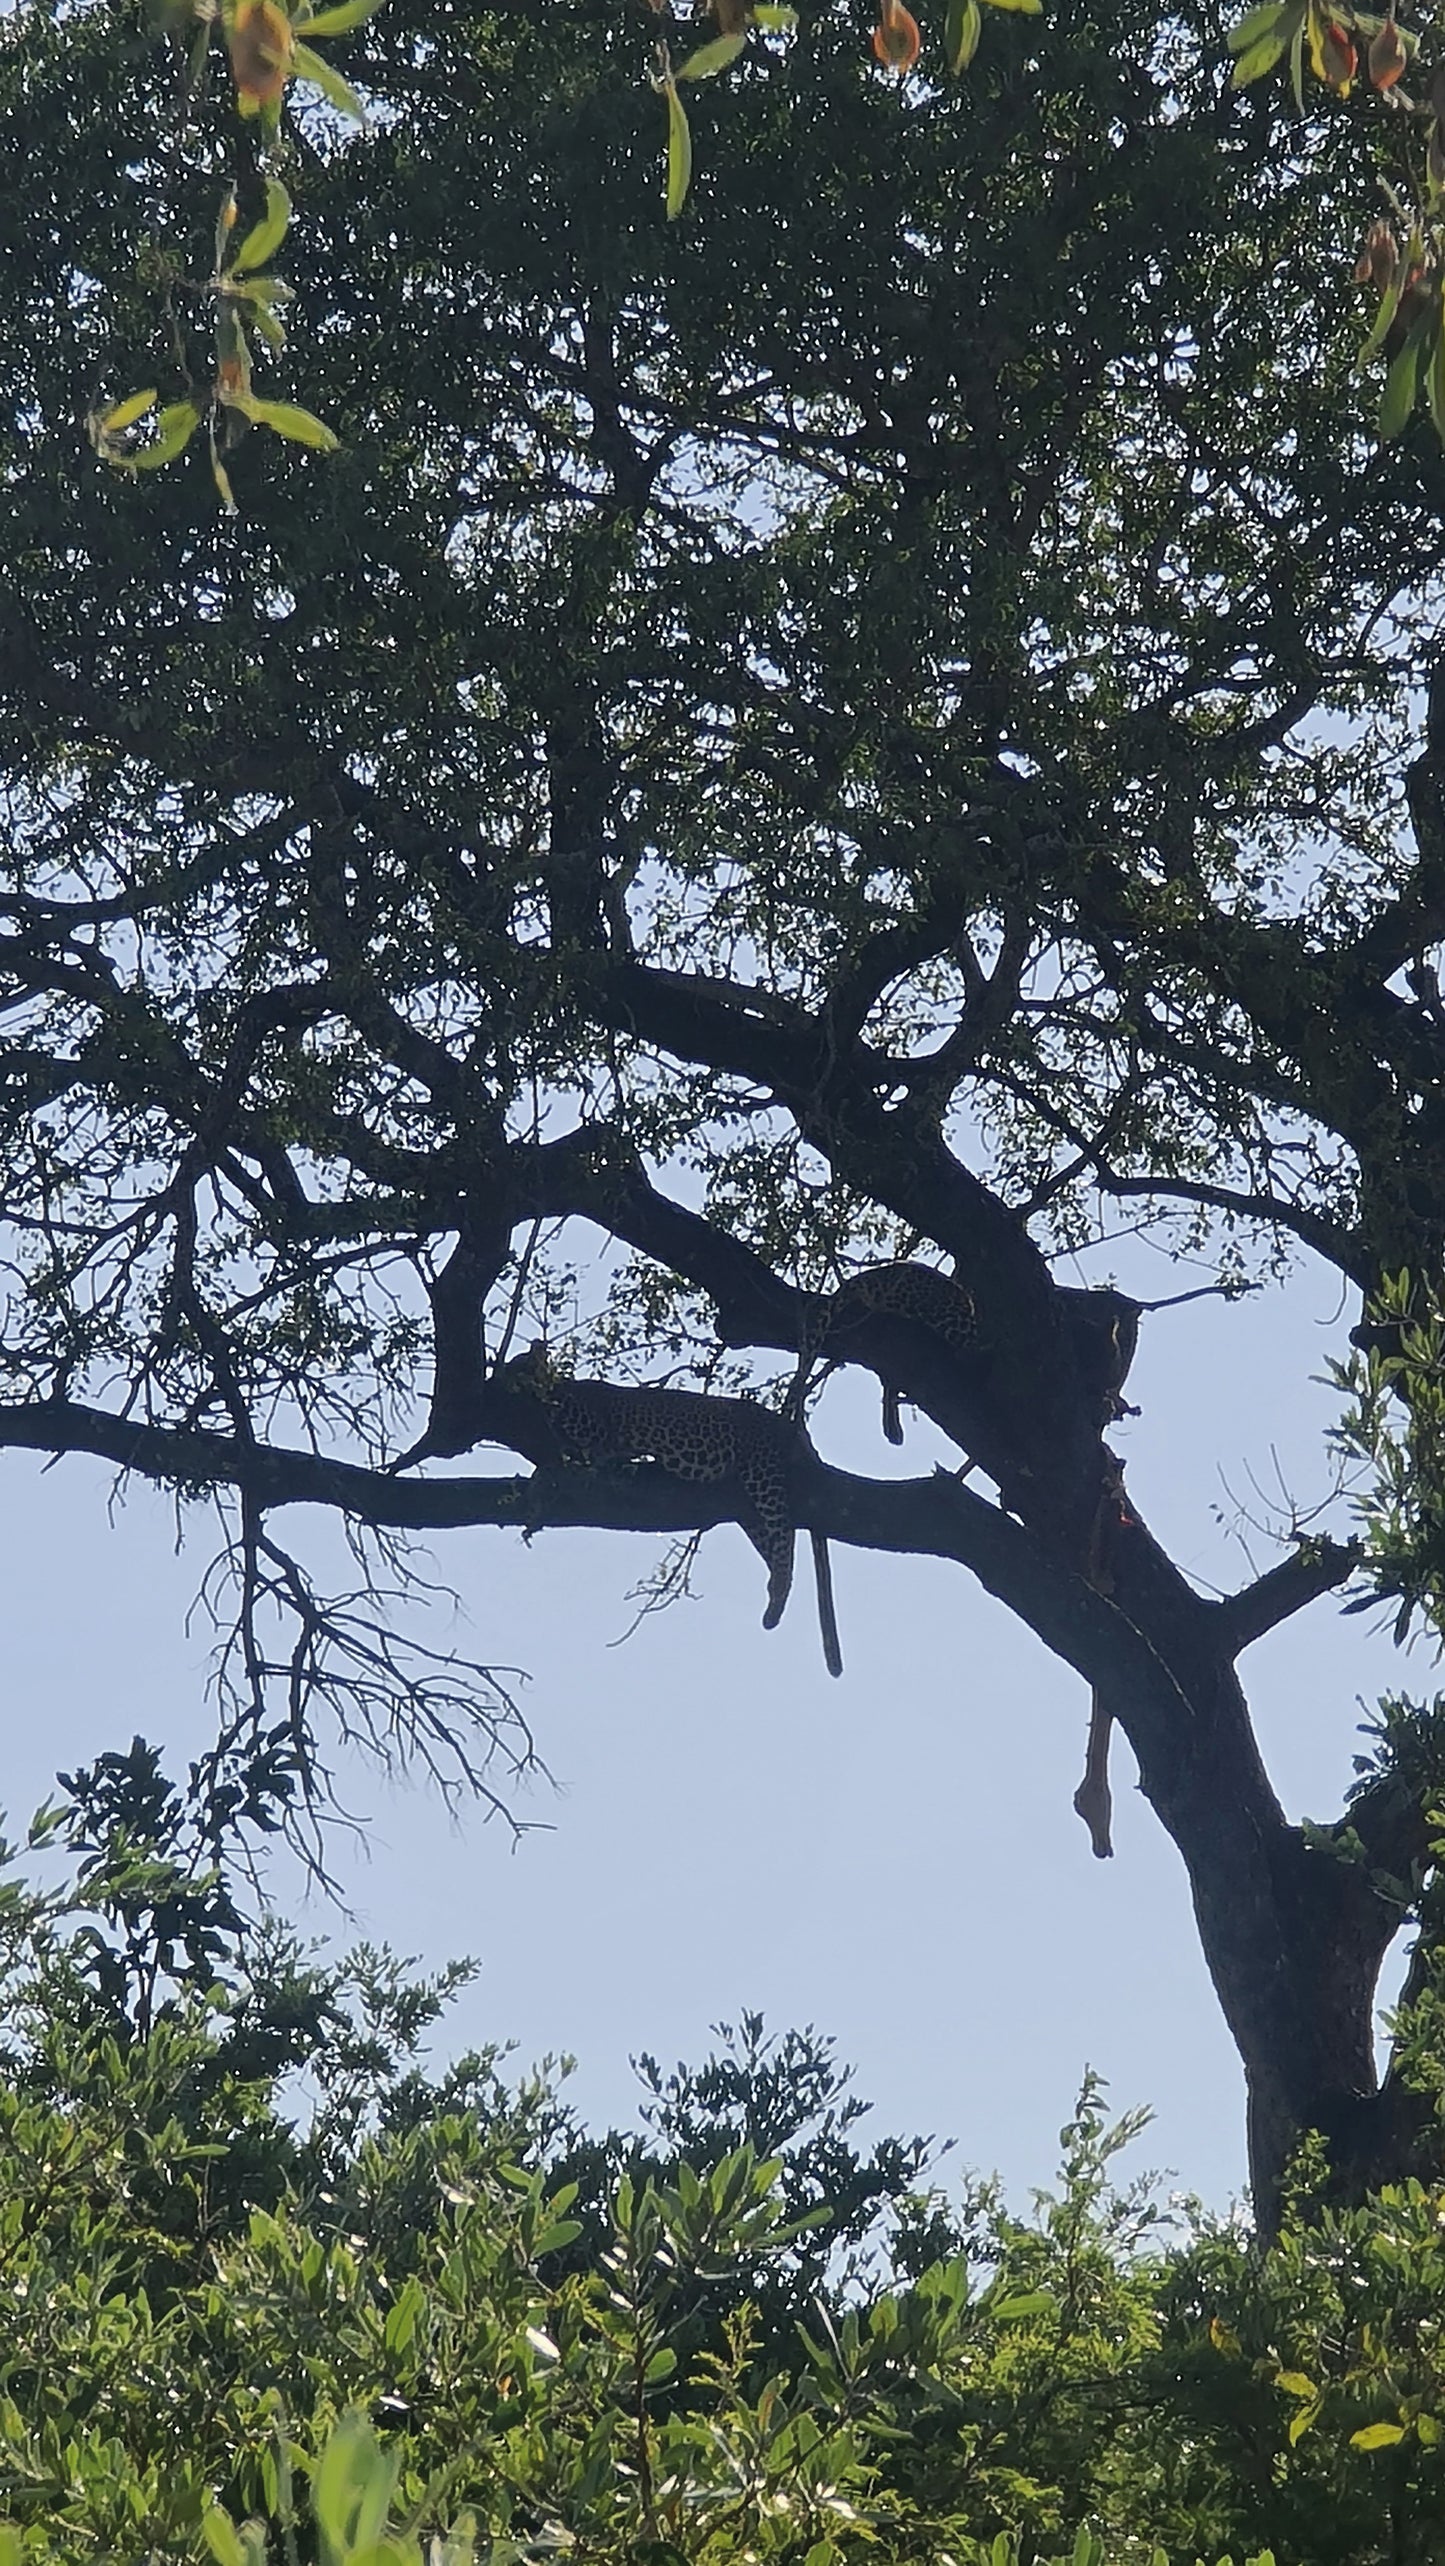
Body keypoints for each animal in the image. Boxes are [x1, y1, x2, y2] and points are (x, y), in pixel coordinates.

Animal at [490, 1344, 841, 1683]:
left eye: (518, 1363)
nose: (499, 1374)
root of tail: (784, 1424)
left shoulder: (594, 1428)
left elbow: (589, 1451)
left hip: (762, 1470)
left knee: (784, 1540)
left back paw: (777, 1592)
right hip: (749, 1510)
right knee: (776, 1541)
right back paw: (773, 1603)